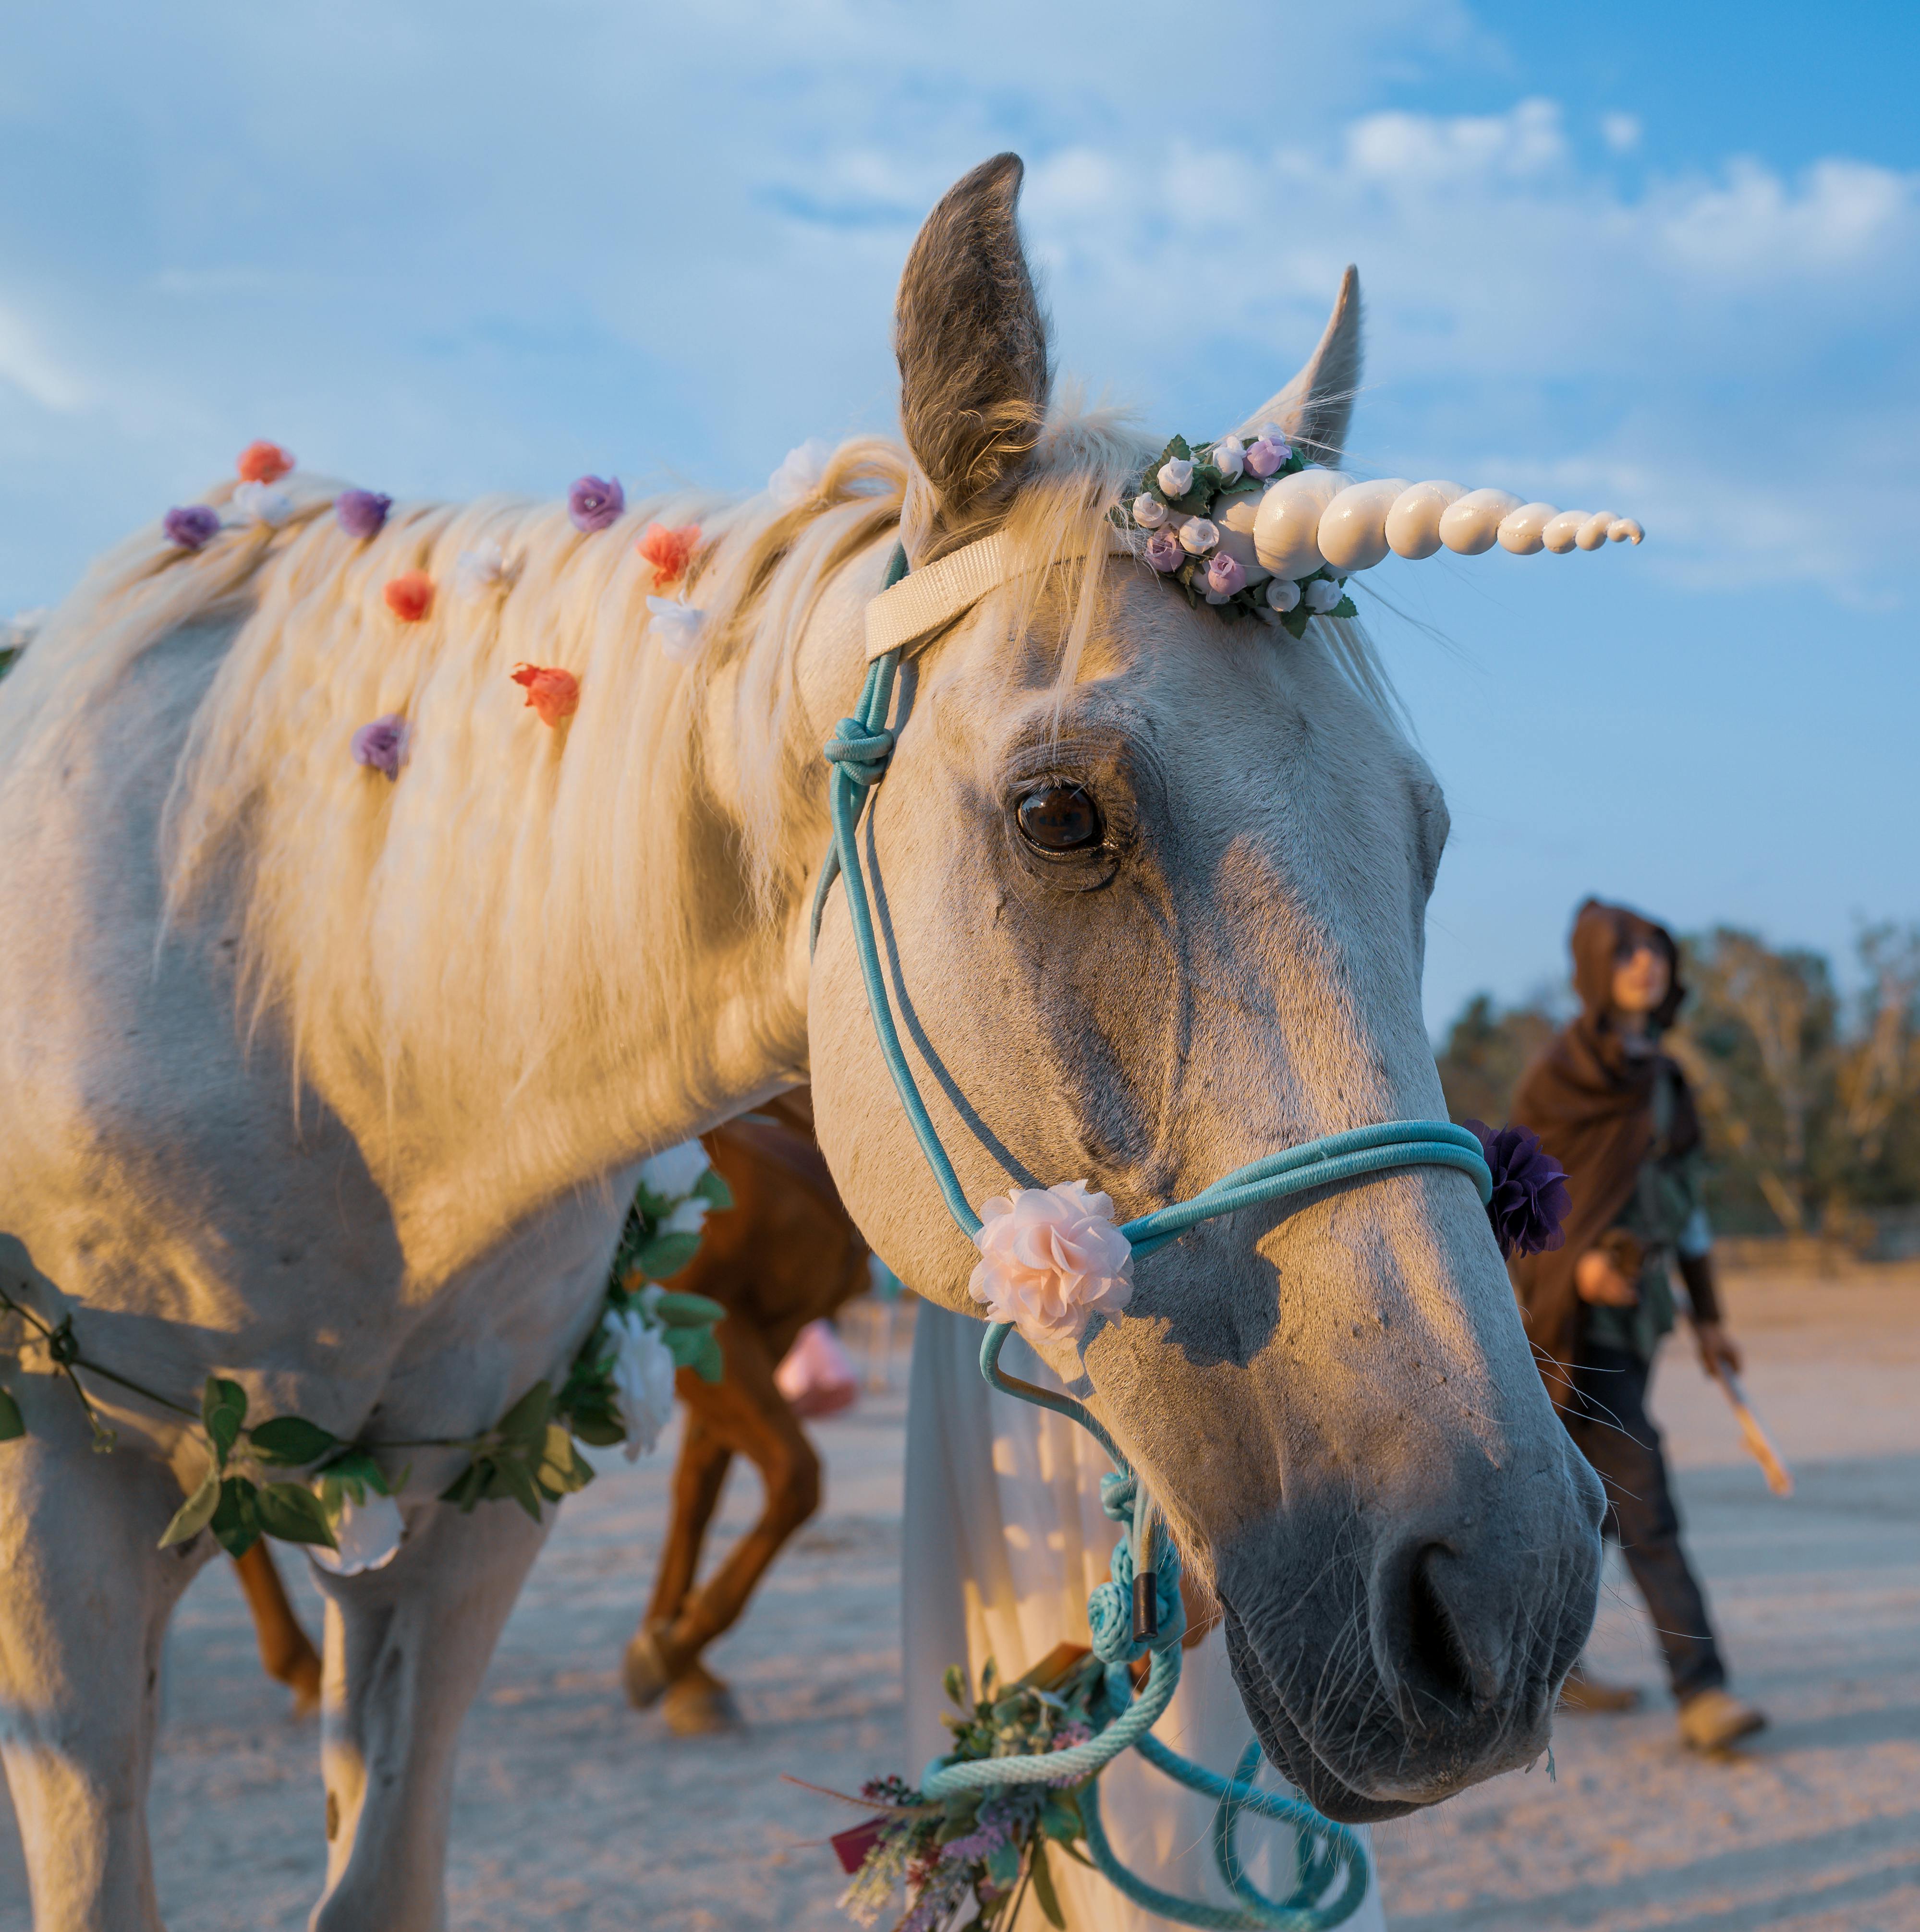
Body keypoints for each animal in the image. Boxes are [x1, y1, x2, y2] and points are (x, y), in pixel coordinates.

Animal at [0, 150, 1604, 1928]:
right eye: (1059, 815)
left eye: (1423, 836)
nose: (1505, 1589)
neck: (311, 1024)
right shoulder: (58, 1514)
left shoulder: (461, 1523)